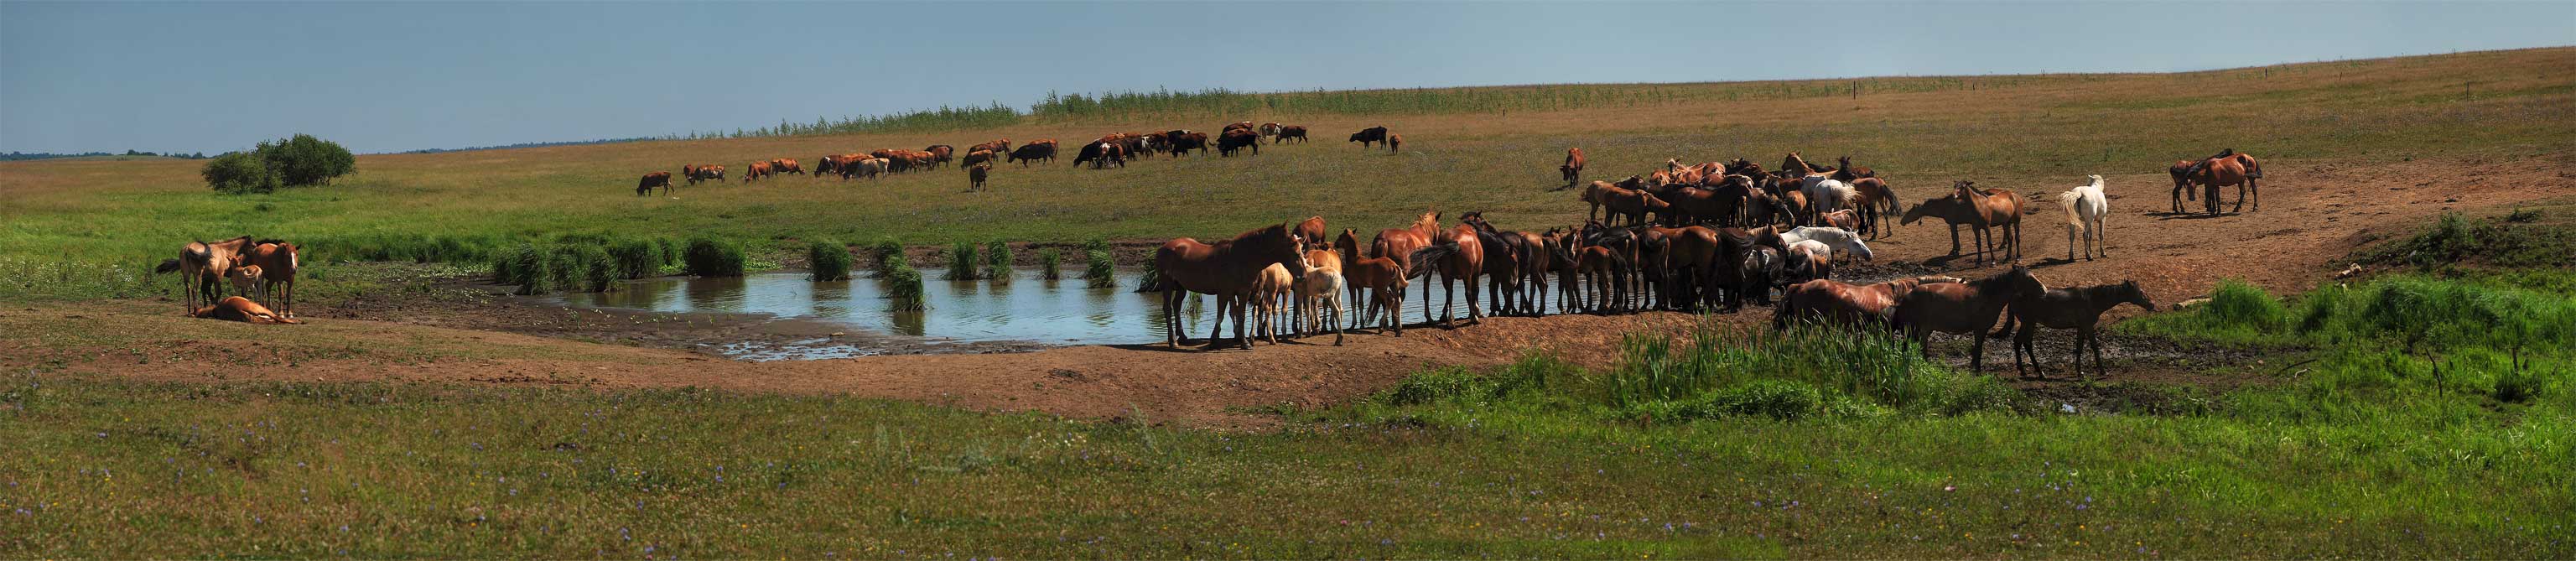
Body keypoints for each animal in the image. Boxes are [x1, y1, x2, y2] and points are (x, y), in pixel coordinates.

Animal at [1159, 222, 1308, 347]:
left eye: (1302, 250)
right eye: (1294, 252)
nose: (1304, 275)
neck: (1239, 258)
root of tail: (1164, 247)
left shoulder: (1243, 292)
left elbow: (1241, 315)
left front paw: (1244, 342)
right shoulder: (1224, 293)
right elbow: (1221, 315)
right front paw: (1215, 339)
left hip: (1181, 288)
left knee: (1176, 307)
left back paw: (1183, 337)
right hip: (1167, 286)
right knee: (1168, 309)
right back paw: (1173, 341)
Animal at [1906, 181, 2019, 266]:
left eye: (1912, 210)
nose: (1903, 221)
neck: (1945, 206)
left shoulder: (1952, 223)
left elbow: (1954, 237)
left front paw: (1955, 251)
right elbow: (1956, 237)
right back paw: (2003, 245)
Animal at [1988, 278, 2153, 381]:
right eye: (2140, 292)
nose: (2152, 304)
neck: (2092, 299)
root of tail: (2013, 296)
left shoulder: (2081, 327)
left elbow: (2079, 348)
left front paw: (2079, 371)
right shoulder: (2088, 326)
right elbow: (2094, 347)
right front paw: (2103, 370)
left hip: (2028, 323)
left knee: (2018, 342)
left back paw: (2023, 370)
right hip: (2029, 322)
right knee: (2026, 343)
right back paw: (2041, 373)